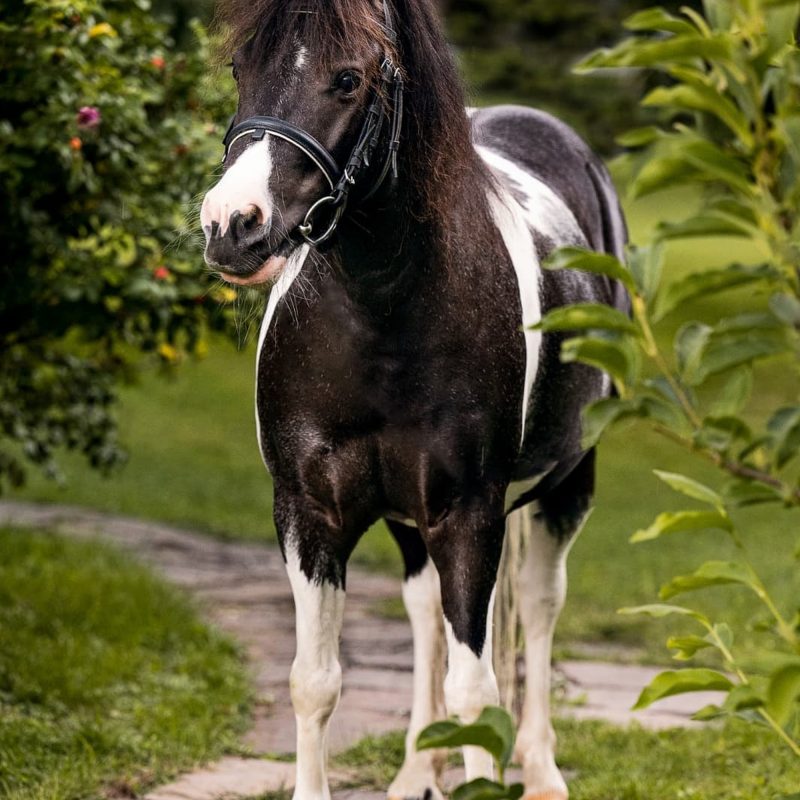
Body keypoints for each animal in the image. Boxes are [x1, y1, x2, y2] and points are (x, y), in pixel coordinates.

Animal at [200, 1, 632, 800]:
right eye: (242, 68)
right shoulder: (309, 513)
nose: (232, 226)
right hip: (411, 522)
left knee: (540, 606)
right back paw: (414, 773)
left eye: (348, 78)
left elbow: (476, 693)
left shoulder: (468, 515)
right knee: (428, 612)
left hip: (567, 482)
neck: (383, 314)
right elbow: (315, 680)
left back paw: (542, 770)